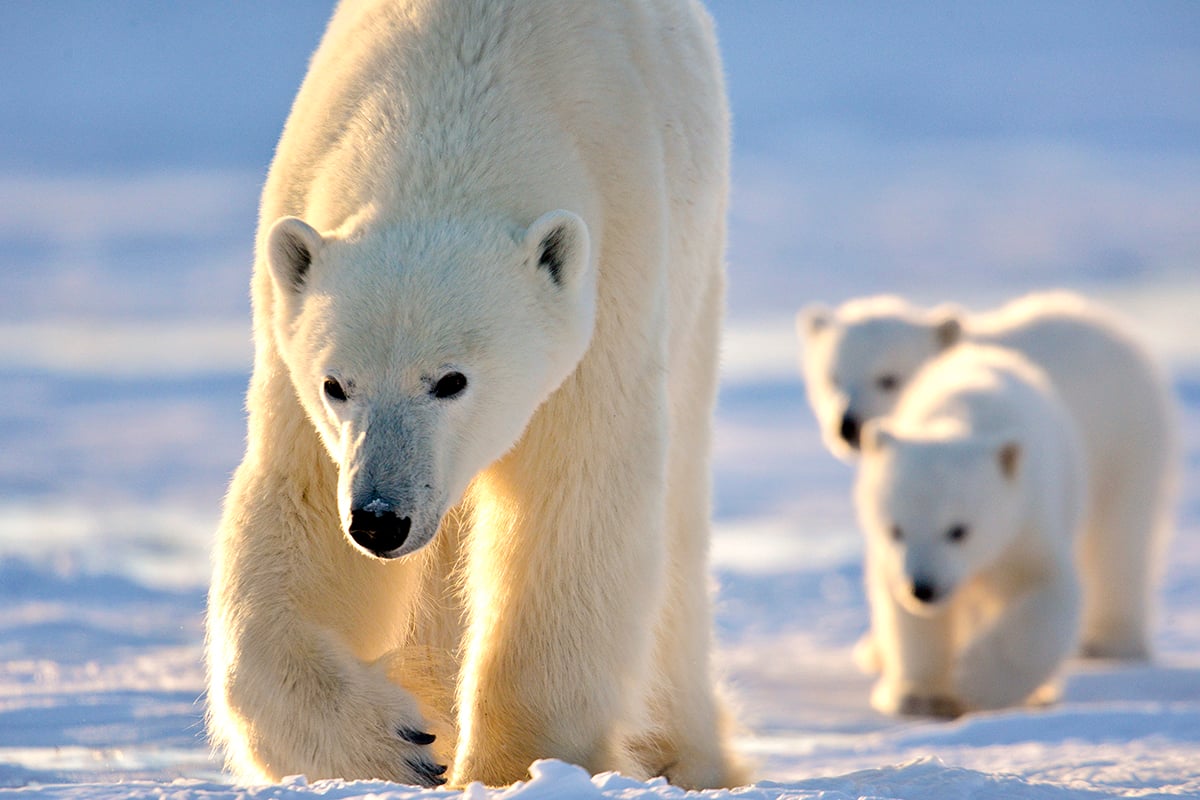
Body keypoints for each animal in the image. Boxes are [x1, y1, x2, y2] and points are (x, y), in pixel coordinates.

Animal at [206, 0, 739, 786]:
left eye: (451, 380)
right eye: (337, 384)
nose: (380, 519)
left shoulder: (614, 279)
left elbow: (571, 507)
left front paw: (514, 767)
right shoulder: (291, 345)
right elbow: (298, 507)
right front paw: (396, 744)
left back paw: (685, 754)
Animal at [796, 291, 1171, 662]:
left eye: (888, 378)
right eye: (832, 378)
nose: (847, 425)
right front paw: (876, 651)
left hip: (1126, 442)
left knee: (1119, 538)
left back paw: (1113, 642)